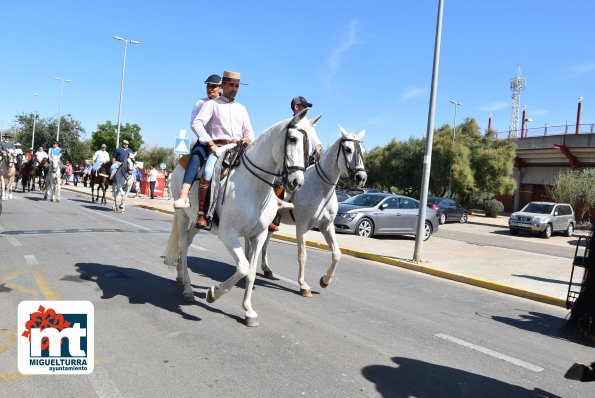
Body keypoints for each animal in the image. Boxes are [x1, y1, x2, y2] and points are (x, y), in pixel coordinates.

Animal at [163, 109, 316, 326]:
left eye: (310, 147)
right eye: (293, 139)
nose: (297, 182)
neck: (253, 186)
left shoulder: (259, 235)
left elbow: (250, 272)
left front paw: (249, 311)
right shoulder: (229, 234)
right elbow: (242, 267)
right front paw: (213, 293)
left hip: (197, 223)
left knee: (188, 242)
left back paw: (180, 277)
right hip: (183, 215)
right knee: (183, 246)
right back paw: (188, 289)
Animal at [262, 126, 368, 296]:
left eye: (363, 150)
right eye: (348, 149)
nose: (361, 177)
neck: (321, 189)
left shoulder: (327, 226)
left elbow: (337, 254)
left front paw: (325, 280)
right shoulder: (302, 226)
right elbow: (302, 255)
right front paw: (303, 285)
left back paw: (266, 269)